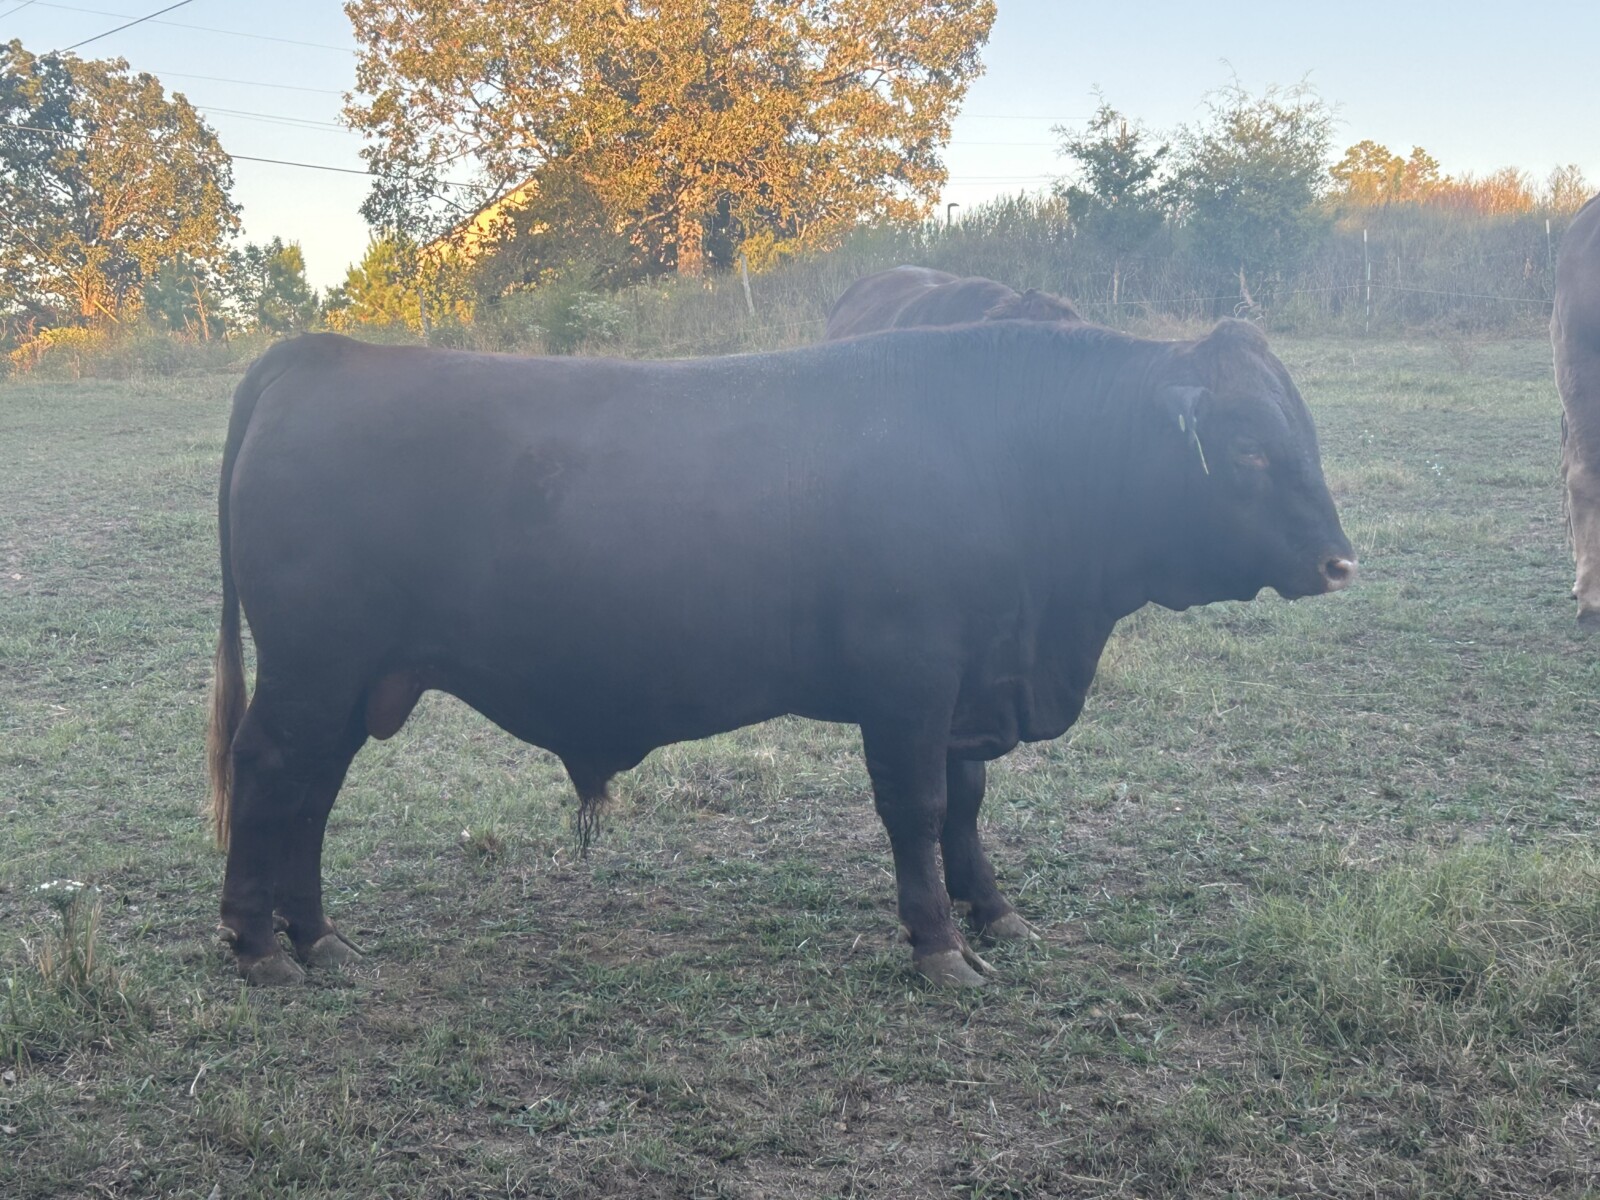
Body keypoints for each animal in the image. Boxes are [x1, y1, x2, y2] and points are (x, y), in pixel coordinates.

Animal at [208, 320, 1356, 989]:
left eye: (1301, 430)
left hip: (353, 681)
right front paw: (939, 946)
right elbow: (917, 810)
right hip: (314, 668)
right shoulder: (910, 680)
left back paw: (318, 937)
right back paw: (260, 943)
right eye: (1248, 449)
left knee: (308, 795)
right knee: (270, 777)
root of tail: (323, 350)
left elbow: (968, 804)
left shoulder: (967, 688)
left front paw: (995, 914)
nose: (1341, 561)